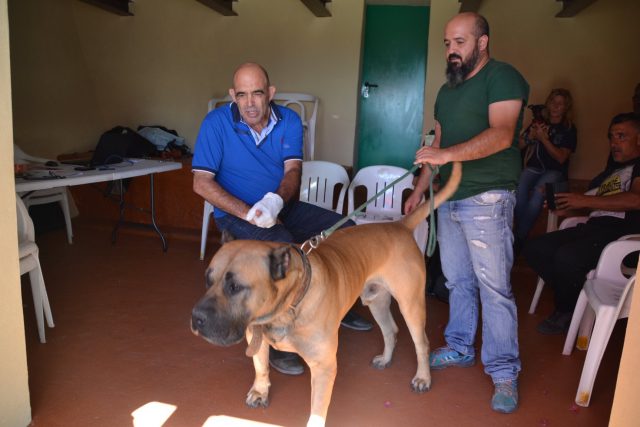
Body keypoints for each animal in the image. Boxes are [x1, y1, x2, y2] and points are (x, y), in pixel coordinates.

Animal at [192, 161, 462, 427]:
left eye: (235, 287)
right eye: (208, 279)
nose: (195, 318)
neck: (288, 307)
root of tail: (399, 225)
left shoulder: (323, 367)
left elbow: (317, 410)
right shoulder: (254, 334)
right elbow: (261, 366)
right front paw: (260, 391)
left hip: (410, 304)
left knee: (421, 342)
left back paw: (423, 377)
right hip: (376, 300)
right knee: (390, 330)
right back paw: (386, 358)